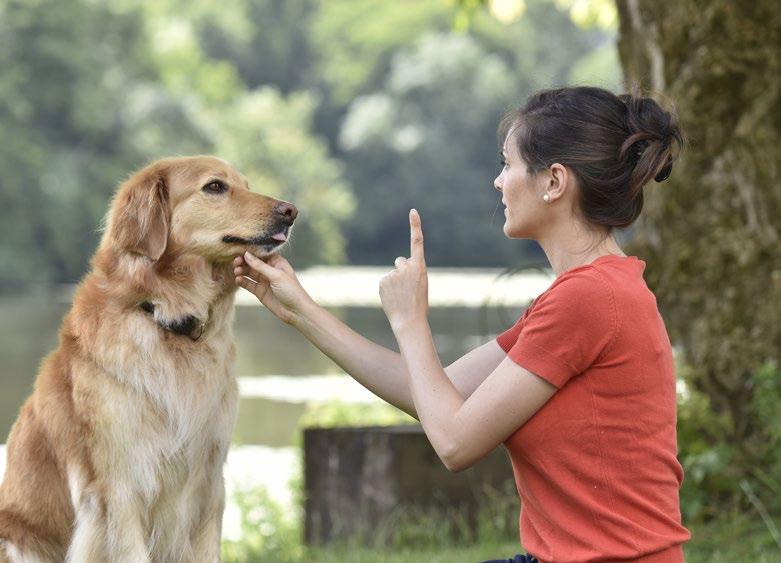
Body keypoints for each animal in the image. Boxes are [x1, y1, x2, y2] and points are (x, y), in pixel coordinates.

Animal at [0, 158, 296, 563]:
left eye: (246, 185)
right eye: (215, 187)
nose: (291, 211)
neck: (165, 318)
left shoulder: (208, 486)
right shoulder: (119, 490)